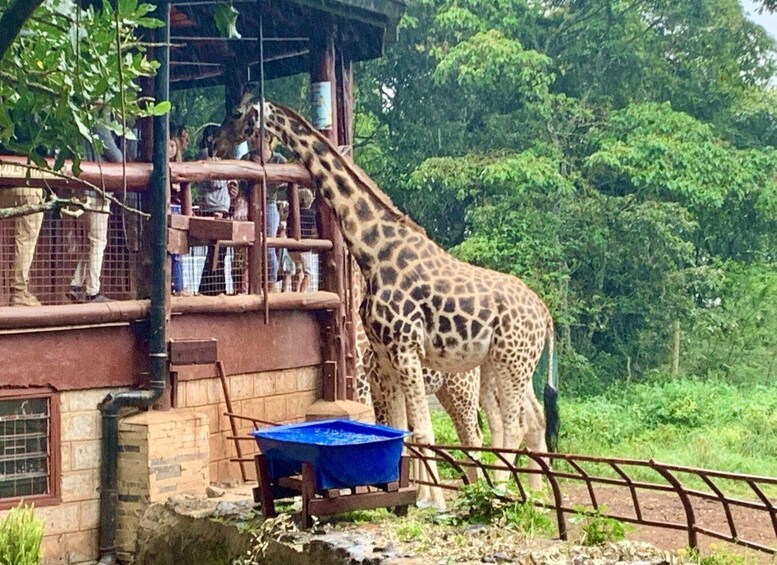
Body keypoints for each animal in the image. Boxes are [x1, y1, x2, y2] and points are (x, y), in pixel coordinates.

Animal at [213, 97, 559, 506]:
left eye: (237, 113)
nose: (215, 143)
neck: (373, 252)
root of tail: (546, 315)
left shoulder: (403, 349)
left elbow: (420, 433)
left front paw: (434, 503)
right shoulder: (385, 358)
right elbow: (397, 434)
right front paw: (409, 494)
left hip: (507, 364)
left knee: (512, 426)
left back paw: (504, 494)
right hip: (497, 364)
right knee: (516, 424)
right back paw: (518, 496)